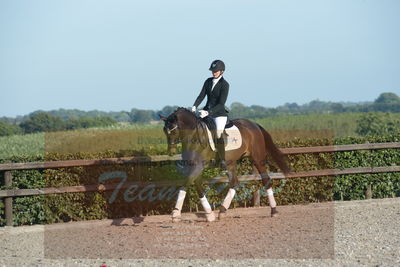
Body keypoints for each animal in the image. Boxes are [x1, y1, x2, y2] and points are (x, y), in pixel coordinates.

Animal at [159, 107, 288, 222]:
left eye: (173, 130)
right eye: (164, 130)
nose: (171, 152)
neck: (194, 136)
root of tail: (253, 124)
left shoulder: (198, 166)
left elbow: (185, 183)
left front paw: (175, 214)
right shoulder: (193, 167)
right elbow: (197, 186)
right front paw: (209, 214)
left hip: (257, 159)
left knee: (266, 180)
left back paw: (274, 211)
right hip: (231, 163)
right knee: (234, 182)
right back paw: (222, 211)